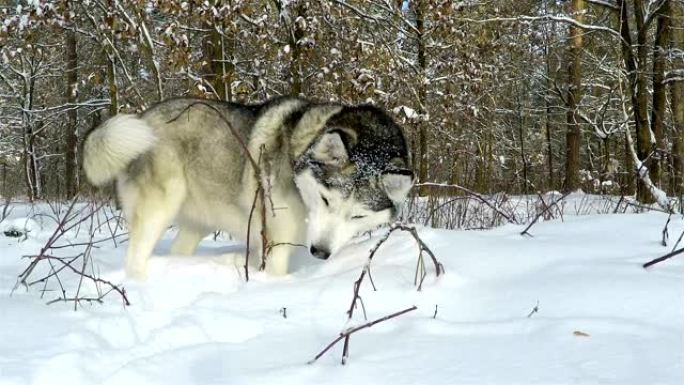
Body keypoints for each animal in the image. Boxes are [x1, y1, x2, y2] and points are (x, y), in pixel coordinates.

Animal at [80, 96, 412, 276]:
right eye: (326, 199)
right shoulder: (275, 243)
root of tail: (143, 116)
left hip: (196, 224)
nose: (319, 252)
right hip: (159, 208)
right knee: (135, 257)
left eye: (357, 216)